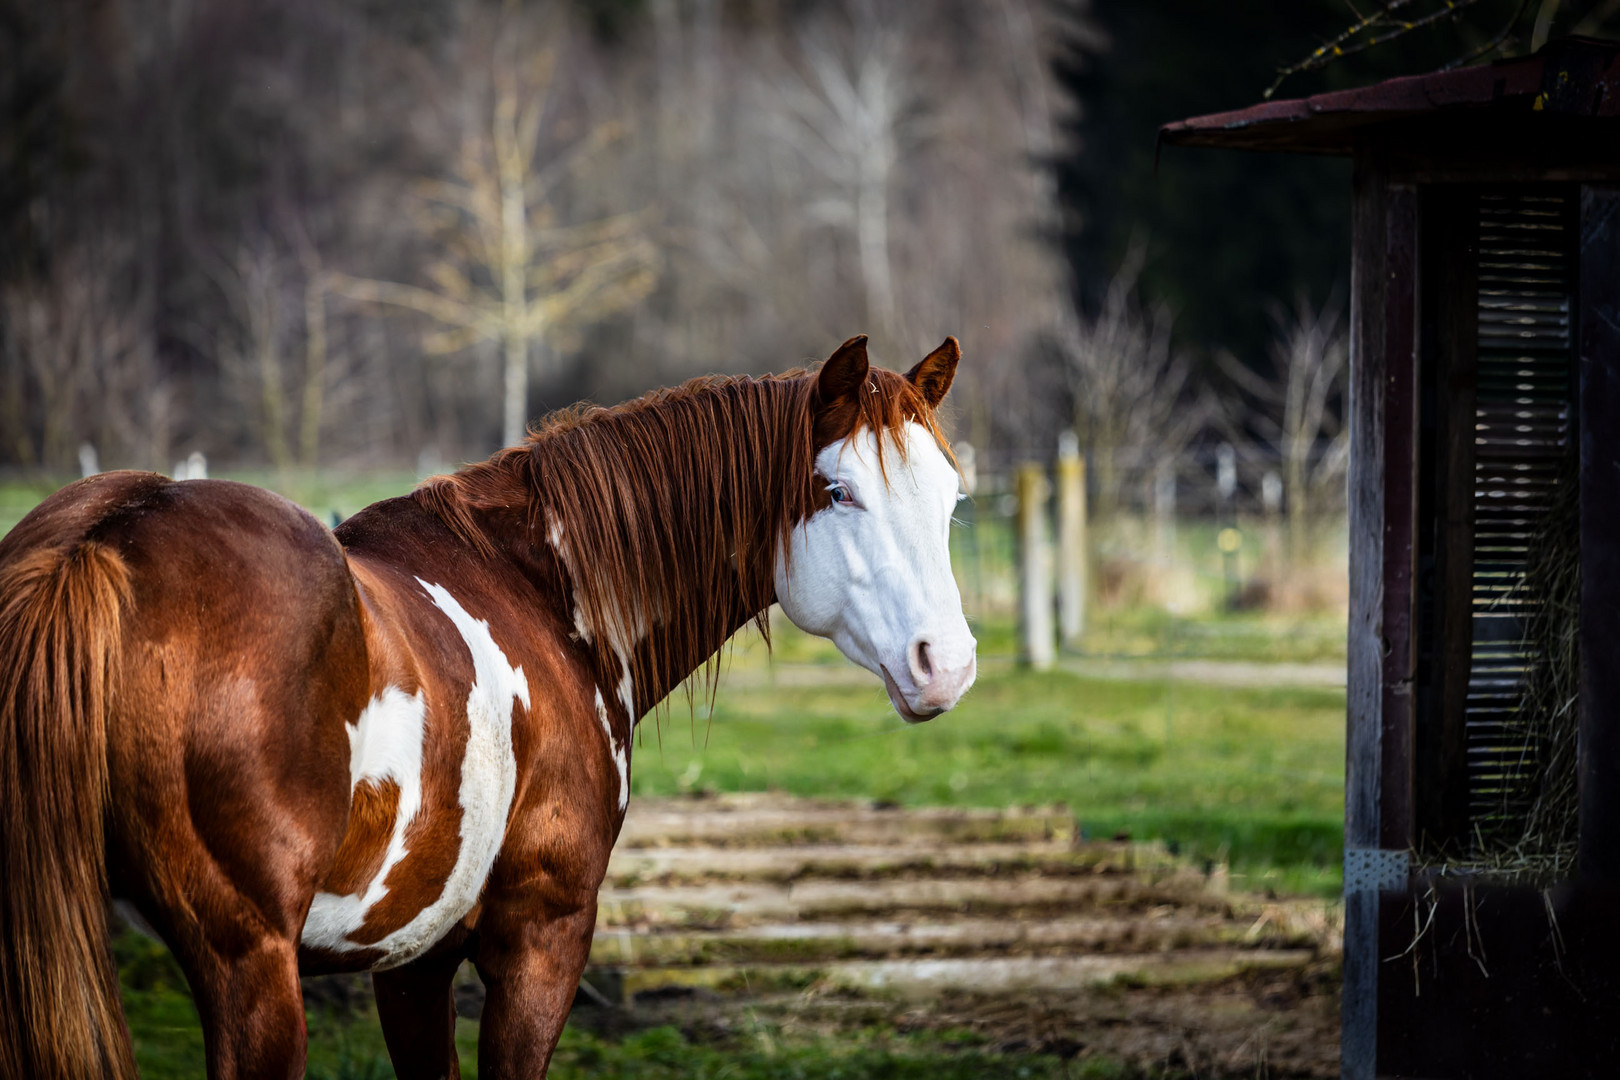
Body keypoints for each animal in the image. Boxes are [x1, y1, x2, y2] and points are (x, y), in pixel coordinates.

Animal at [0, 335, 972, 1080]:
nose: (949, 664)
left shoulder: (412, 962)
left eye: (952, 499)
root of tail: (103, 538)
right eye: (839, 491)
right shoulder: (540, 933)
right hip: (252, 969)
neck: (546, 593)